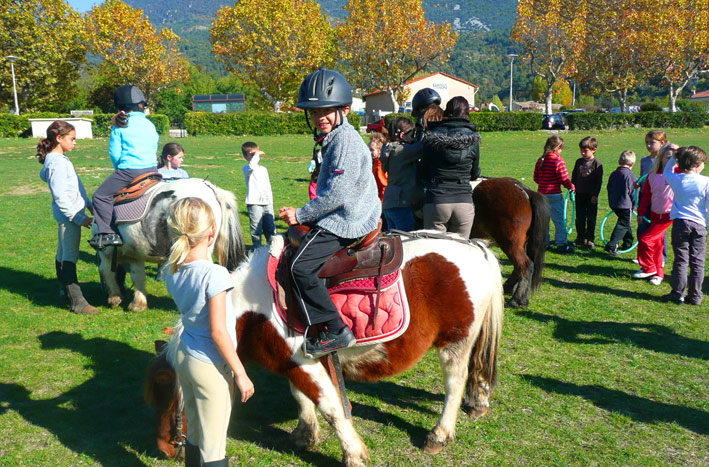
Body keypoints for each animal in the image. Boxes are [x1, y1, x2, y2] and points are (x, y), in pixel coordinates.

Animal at [95, 178, 246, 310]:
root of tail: (211, 189)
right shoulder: (135, 256)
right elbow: (138, 277)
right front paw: (138, 304)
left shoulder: (106, 253)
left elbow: (106, 271)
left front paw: (114, 298)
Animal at [145, 236, 504, 466]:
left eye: (172, 396)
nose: (163, 450)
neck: (253, 310)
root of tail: (477, 247)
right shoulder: (290, 362)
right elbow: (300, 397)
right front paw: (305, 435)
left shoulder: (306, 362)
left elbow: (331, 407)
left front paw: (354, 454)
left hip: (455, 343)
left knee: (454, 385)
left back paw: (439, 435)